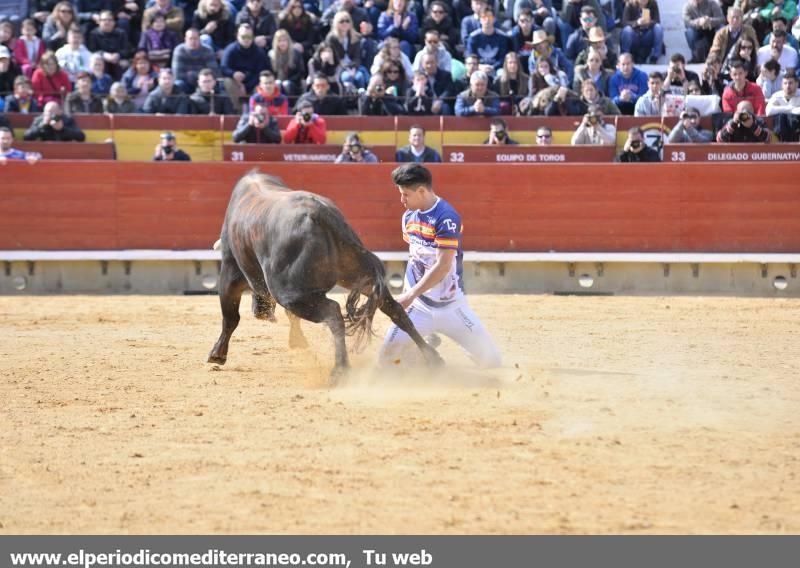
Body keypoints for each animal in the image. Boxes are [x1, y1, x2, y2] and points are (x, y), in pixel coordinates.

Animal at [208, 171, 444, 380]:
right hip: (357, 276)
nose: (261, 312)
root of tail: (323, 216)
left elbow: (230, 317)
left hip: (289, 292)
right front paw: (297, 342)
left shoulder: (229, 270)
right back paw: (433, 358)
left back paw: (340, 370)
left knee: (333, 312)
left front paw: (217, 355)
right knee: (395, 310)